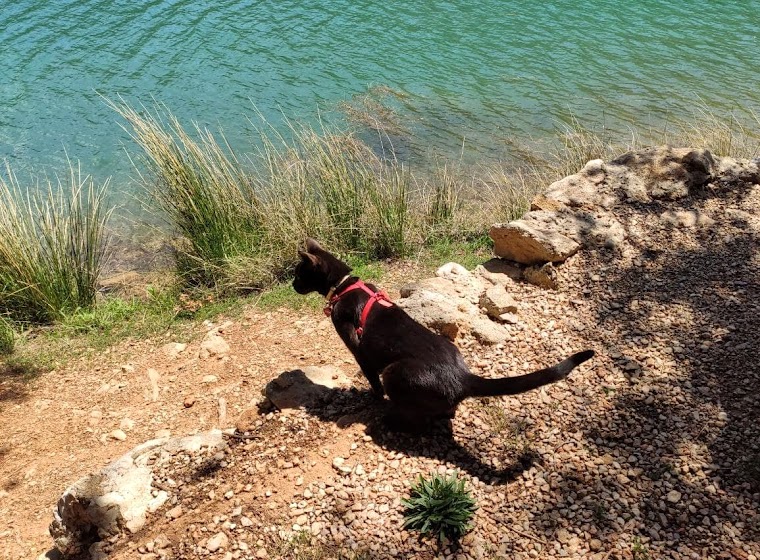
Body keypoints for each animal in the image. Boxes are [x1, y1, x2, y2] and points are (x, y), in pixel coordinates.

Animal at [290, 237, 592, 428]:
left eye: (298, 274)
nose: (293, 286)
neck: (343, 286)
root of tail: (462, 377)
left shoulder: (360, 351)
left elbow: (372, 383)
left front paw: (370, 399)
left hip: (395, 372)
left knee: (416, 418)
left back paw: (390, 421)